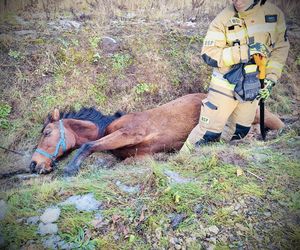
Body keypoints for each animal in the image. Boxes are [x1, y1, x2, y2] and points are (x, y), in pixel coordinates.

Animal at [29, 94, 284, 176]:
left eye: (47, 133)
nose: (33, 165)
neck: (108, 126)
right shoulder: (141, 155)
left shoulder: (130, 133)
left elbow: (89, 145)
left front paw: (71, 168)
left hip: (255, 116)